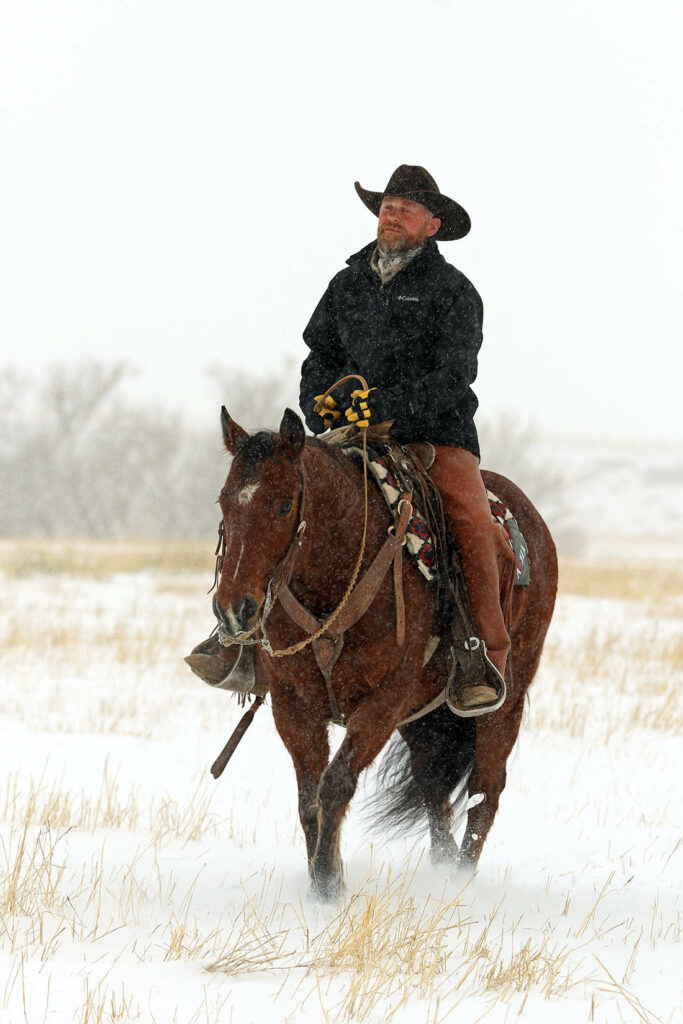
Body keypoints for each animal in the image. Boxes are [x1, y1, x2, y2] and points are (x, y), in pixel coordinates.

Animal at [216, 405, 557, 897]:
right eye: (224, 502)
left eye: (282, 505)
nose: (233, 609)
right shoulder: (292, 706)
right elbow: (309, 799)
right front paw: (321, 881)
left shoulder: (383, 702)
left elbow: (335, 784)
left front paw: (328, 887)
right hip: (423, 717)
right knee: (434, 786)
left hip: (505, 698)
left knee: (485, 792)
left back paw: (459, 882)